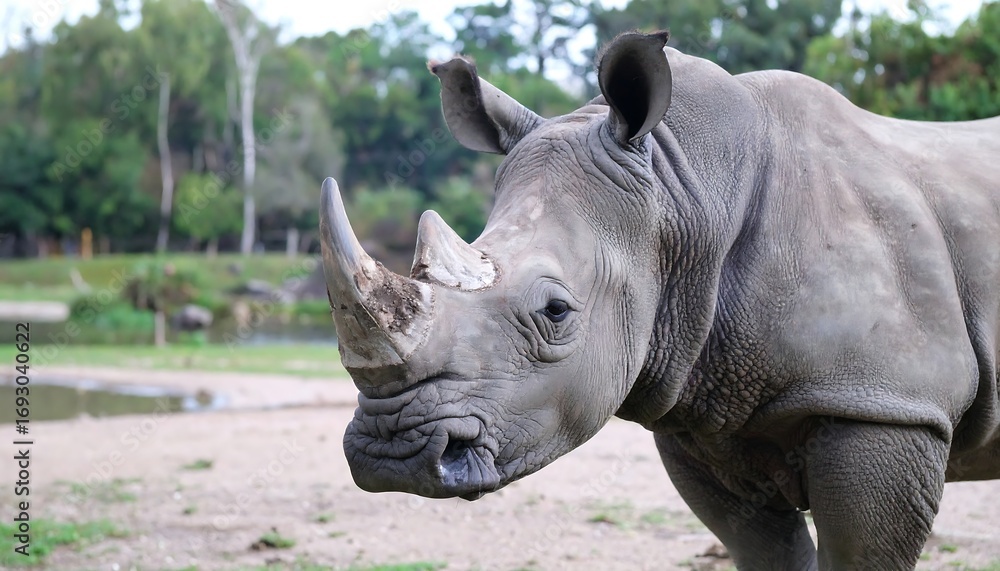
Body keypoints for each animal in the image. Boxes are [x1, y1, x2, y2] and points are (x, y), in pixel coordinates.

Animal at [320, 31, 1000, 570]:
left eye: (556, 312)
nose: (391, 453)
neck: (684, 190)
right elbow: (763, 550)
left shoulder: (885, 401)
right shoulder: (702, 409)